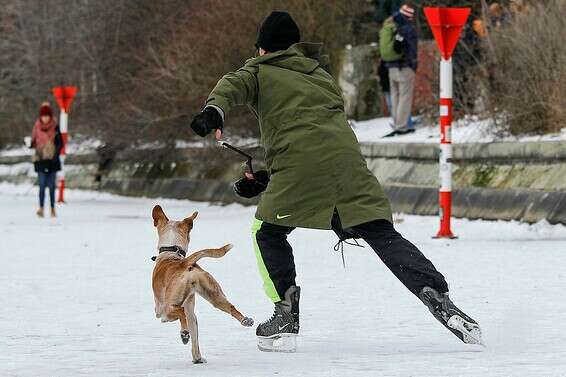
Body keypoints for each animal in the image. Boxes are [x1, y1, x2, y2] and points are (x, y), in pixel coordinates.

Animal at [151, 204, 253, 362]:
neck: (172, 252)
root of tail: (185, 263)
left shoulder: (159, 312)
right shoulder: (192, 312)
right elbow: (195, 339)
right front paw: (197, 358)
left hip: (166, 310)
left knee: (179, 313)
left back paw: (184, 334)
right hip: (214, 294)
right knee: (230, 308)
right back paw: (245, 320)